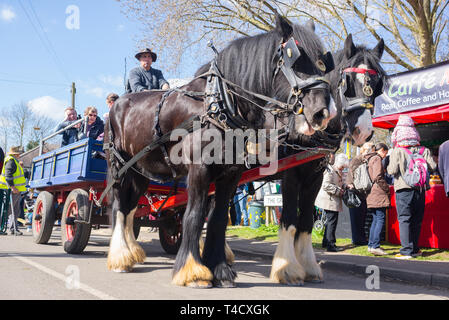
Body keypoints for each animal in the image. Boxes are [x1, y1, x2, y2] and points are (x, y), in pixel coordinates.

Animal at [106, 13, 336, 288]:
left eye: (323, 63)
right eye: (296, 59)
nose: (323, 113)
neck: (221, 105)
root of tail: (119, 102)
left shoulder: (231, 173)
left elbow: (216, 220)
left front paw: (220, 269)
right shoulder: (200, 169)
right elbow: (194, 216)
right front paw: (193, 272)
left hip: (140, 171)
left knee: (131, 208)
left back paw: (131, 253)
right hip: (120, 168)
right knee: (120, 206)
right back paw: (120, 258)